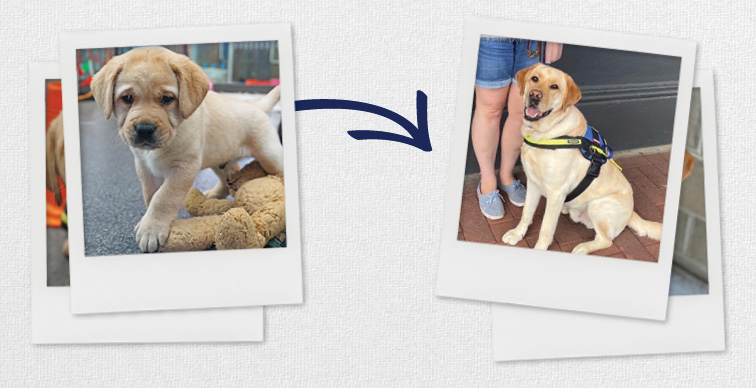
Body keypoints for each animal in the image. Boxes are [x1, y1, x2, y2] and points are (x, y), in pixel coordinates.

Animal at [91, 47, 284, 253]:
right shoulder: (144, 167)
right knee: (230, 178)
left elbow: (164, 197)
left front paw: (151, 228)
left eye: (167, 99)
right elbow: (151, 195)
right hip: (220, 161)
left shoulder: (183, 167)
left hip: (269, 155)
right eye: (127, 98)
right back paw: (213, 195)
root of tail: (256, 106)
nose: (144, 129)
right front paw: (150, 223)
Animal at [502, 63, 660, 255]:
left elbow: (546, 227)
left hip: (598, 205)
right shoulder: (533, 182)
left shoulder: (556, 191)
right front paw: (517, 234)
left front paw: (539, 248)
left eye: (554, 86)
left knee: (606, 240)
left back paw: (583, 247)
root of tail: (631, 213)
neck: (544, 134)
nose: (534, 95)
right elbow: (526, 213)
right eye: (535, 79)